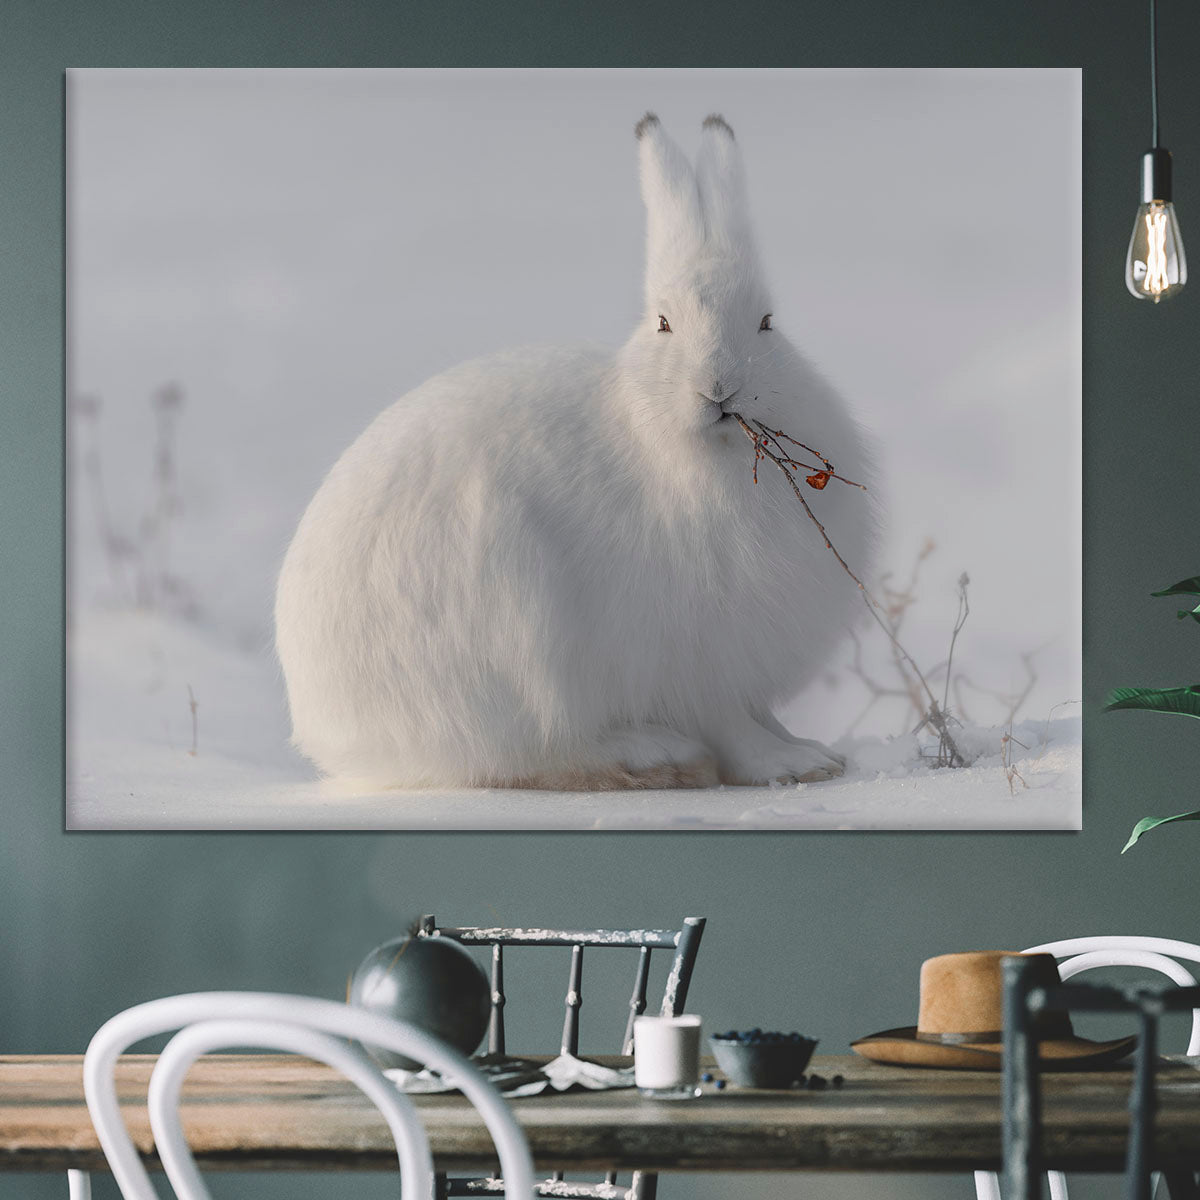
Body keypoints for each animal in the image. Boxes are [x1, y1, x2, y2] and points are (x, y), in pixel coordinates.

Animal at [275, 112, 880, 792]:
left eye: (767, 324)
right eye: (664, 323)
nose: (719, 387)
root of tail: (327, 729)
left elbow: (760, 716)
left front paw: (815, 753)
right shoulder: (695, 659)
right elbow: (732, 727)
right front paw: (789, 766)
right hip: (514, 638)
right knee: (531, 753)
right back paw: (655, 754)